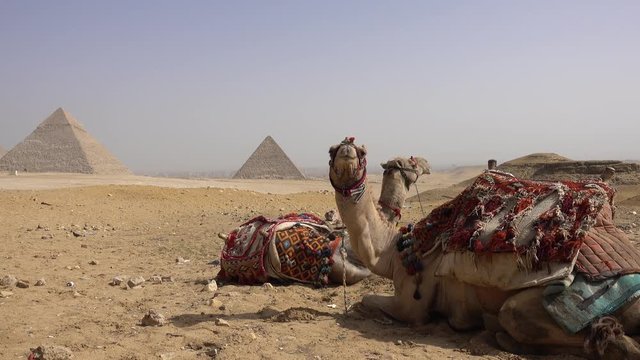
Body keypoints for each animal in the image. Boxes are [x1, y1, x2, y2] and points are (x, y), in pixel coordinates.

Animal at [330, 136, 640, 358]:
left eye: (361, 151)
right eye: (333, 149)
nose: (346, 150)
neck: (393, 250)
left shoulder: (412, 305)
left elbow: (363, 302)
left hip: (538, 305)